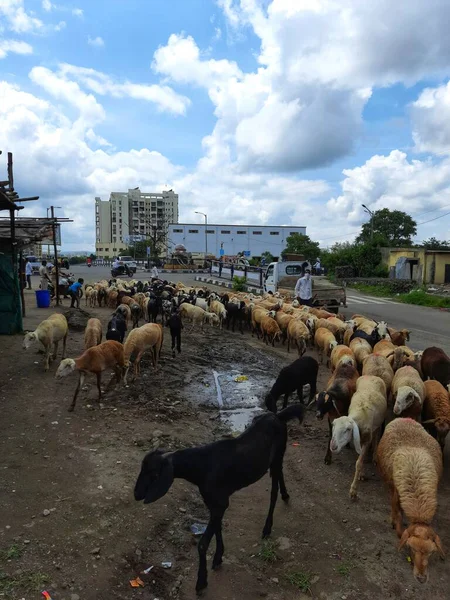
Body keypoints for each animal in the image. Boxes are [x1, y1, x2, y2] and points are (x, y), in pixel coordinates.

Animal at [136, 406, 306, 592]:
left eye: (152, 473)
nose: (136, 494)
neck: (201, 466)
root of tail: (278, 415)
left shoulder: (220, 503)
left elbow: (203, 544)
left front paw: (201, 582)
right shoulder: (213, 502)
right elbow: (218, 528)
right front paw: (218, 557)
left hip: (278, 454)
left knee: (273, 492)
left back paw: (268, 527)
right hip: (276, 458)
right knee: (281, 473)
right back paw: (285, 495)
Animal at [376, 420, 442, 584]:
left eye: (431, 553)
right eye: (412, 548)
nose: (421, 578)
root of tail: (404, 418)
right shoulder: (396, 493)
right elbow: (398, 517)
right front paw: (396, 526)